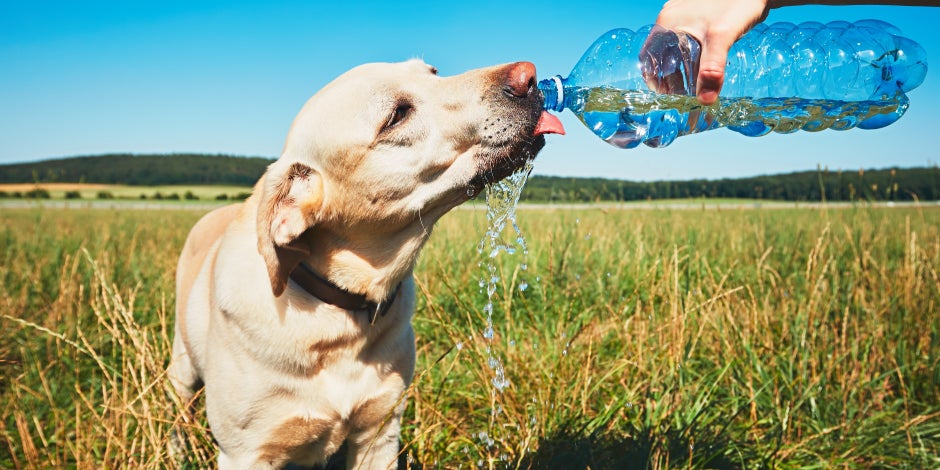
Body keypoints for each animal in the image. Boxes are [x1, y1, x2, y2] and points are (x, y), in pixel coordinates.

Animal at [167, 59, 564, 470]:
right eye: (397, 115)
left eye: (433, 72)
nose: (529, 76)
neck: (338, 315)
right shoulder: (245, 453)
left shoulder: (380, 432)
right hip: (181, 366)